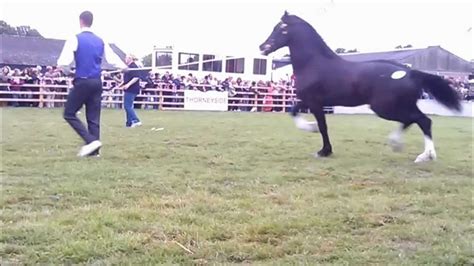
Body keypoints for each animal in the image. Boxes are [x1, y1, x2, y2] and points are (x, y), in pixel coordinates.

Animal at [258, 11, 462, 163]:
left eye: (281, 29)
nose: (262, 47)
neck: (314, 64)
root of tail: (411, 72)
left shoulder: (315, 102)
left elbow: (322, 126)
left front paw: (323, 149)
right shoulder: (310, 100)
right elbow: (293, 111)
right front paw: (313, 131)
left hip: (385, 108)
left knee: (421, 120)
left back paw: (424, 155)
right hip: (399, 105)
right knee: (416, 120)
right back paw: (399, 145)